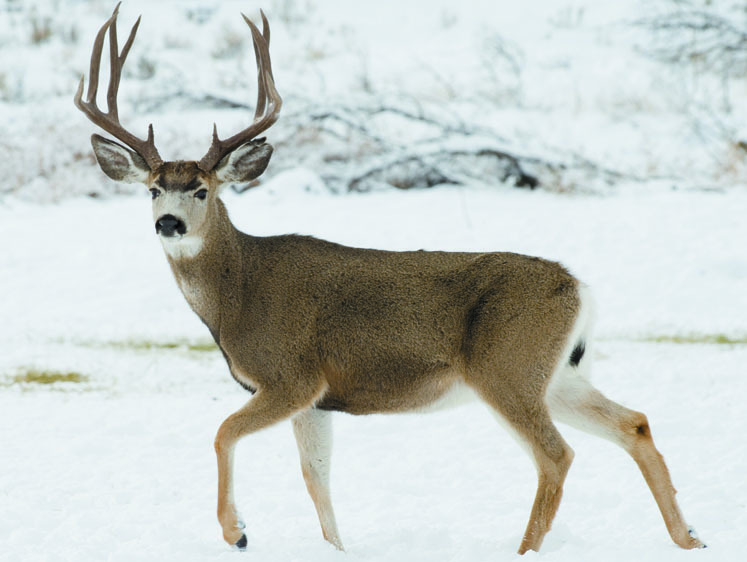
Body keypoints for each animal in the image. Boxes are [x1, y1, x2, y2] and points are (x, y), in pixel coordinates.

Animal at [76, 4, 708, 552]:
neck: (239, 294)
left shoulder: (291, 376)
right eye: (153, 188)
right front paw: (336, 549)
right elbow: (316, 478)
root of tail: (579, 288)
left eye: (202, 189)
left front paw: (238, 532)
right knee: (634, 423)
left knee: (557, 455)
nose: (169, 222)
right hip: (558, 373)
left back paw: (527, 549)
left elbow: (223, 432)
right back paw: (691, 536)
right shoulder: (317, 400)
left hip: (506, 367)